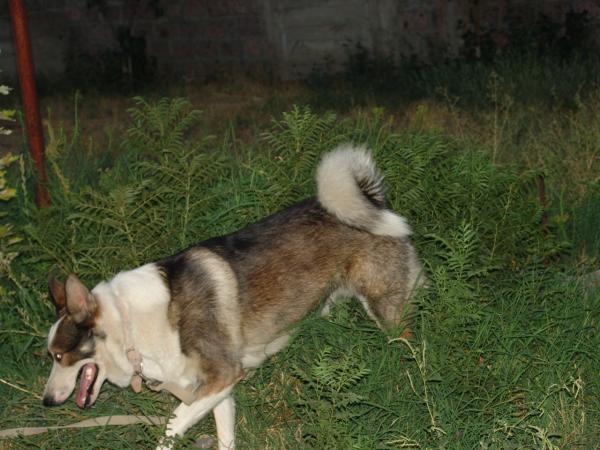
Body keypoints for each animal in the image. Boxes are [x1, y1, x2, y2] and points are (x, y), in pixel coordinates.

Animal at [42, 145, 423, 449]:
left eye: (59, 356)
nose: (46, 402)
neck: (130, 326)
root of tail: (372, 198)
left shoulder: (222, 377)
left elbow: (171, 427)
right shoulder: (217, 390)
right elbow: (222, 435)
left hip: (385, 308)